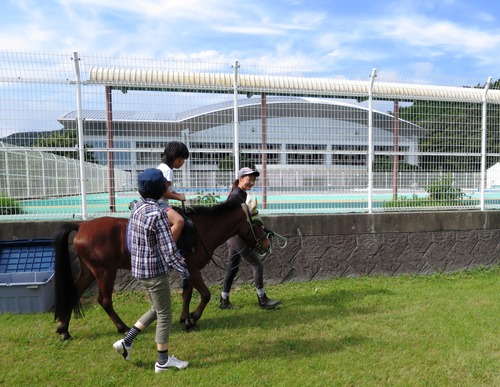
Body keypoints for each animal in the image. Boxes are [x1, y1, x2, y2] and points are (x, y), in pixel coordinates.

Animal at [52, 202, 268, 342]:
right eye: (257, 224)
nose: (266, 244)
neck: (200, 230)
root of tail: (82, 225)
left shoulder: (188, 271)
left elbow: (186, 294)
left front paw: (185, 318)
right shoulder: (193, 269)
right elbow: (205, 295)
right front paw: (192, 318)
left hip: (90, 272)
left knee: (73, 293)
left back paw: (64, 329)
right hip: (105, 272)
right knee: (104, 300)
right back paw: (122, 327)